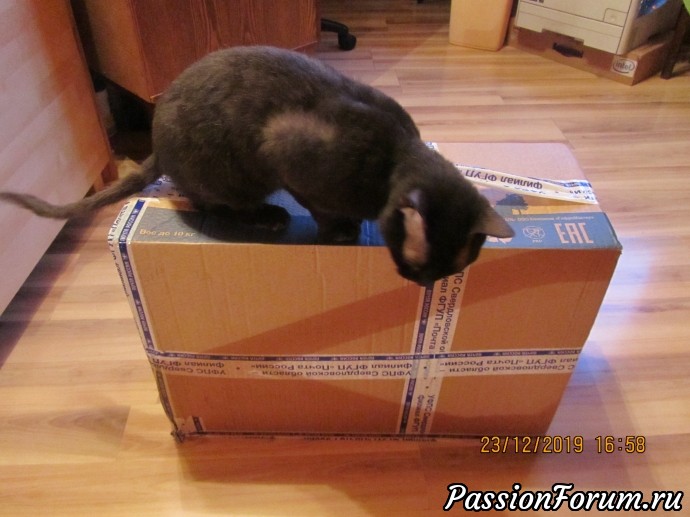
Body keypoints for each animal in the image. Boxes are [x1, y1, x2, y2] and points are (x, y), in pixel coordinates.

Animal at [0, 45, 513, 286]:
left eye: (446, 273)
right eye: (418, 263)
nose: (421, 285)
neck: (395, 156)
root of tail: (157, 145)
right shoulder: (286, 152)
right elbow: (322, 209)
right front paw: (339, 232)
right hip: (229, 177)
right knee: (213, 203)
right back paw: (268, 216)